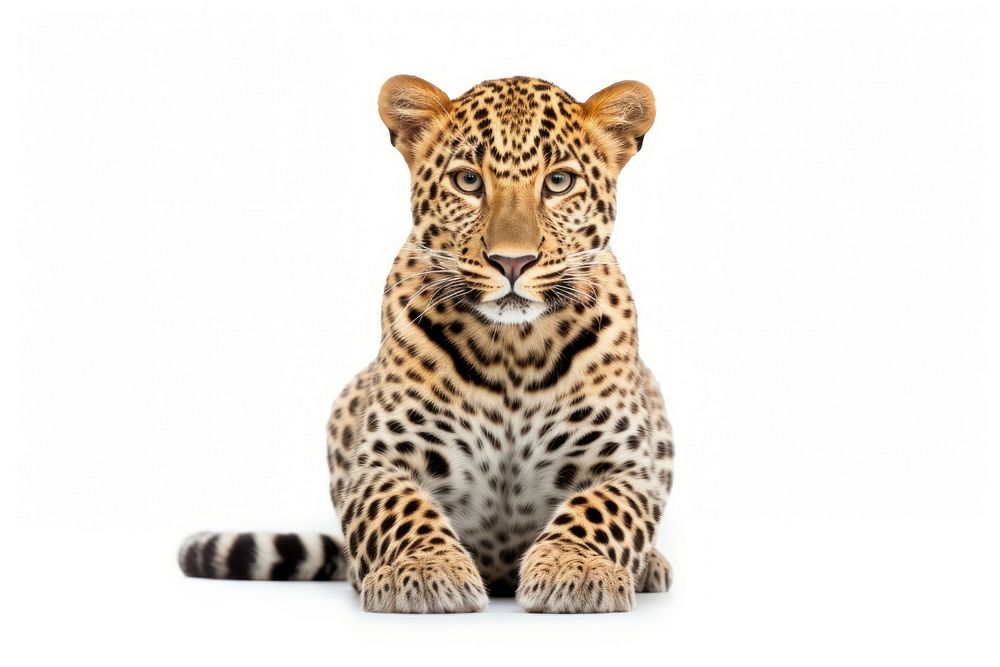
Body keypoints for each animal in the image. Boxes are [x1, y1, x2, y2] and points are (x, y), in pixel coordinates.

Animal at [178, 74, 674, 613]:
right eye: (468, 181)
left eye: (559, 182)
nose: (512, 262)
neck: (514, 350)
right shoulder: (378, 464)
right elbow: (402, 510)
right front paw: (424, 569)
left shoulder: (630, 468)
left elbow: (599, 509)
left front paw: (575, 567)